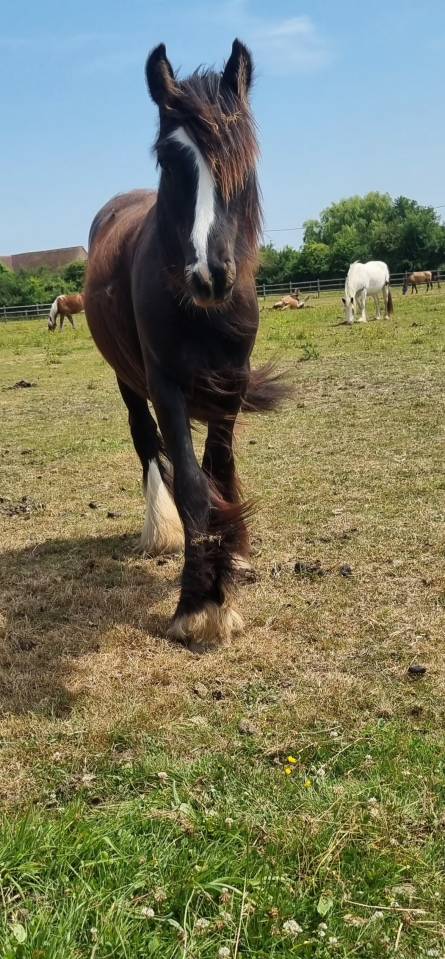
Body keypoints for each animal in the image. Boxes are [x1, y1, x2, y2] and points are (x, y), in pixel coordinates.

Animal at [84, 40, 288, 651]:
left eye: (243, 157)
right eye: (170, 161)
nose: (210, 275)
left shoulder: (232, 379)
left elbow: (219, 467)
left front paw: (234, 555)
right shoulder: (166, 384)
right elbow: (195, 484)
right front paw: (202, 603)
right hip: (128, 379)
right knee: (146, 442)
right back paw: (162, 528)